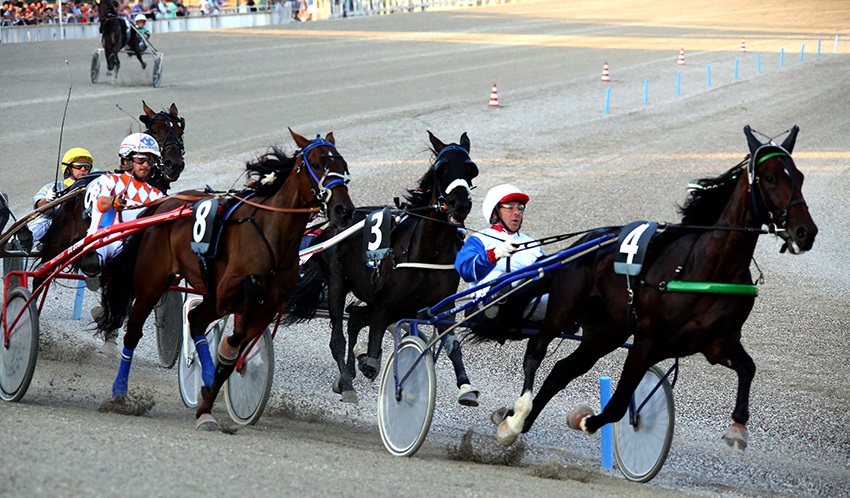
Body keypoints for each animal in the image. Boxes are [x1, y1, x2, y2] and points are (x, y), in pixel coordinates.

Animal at [94, 128, 352, 428]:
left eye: (342, 164)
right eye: (318, 164)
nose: (343, 209)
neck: (273, 235)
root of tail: (163, 206)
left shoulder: (267, 305)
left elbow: (236, 350)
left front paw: (206, 405)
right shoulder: (229, 291)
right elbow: (242, 315)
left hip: (204, 293)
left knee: (195, 319)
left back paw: (205, 381)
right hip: (152, 283)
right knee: (134, 333)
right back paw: (120, 391)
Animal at [284, 131, 480, 404]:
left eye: (471, 169)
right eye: (441, 169)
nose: (459, 204)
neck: (428, 251)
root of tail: (330, 226)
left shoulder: (439, 304)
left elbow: (452, 344)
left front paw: (465, 386)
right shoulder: (385, 304)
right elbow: (373, 349)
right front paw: (368, 365)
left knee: (355, 316)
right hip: (337, 283)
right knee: (338, 336)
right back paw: (347, 382)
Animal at [476, 124, 816, 452]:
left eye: (799, 176)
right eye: (769, 177)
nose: (806, 232)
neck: (709, 268)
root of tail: (579, 247)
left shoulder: (718, 341)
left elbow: (748, 369)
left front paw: (738, 429)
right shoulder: (647, 341)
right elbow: (616, 406)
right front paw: (585, 420)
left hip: (607, 331)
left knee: (563, 369)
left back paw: (519, 420)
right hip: (564, 308)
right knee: (536, 350)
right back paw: (514, 420)